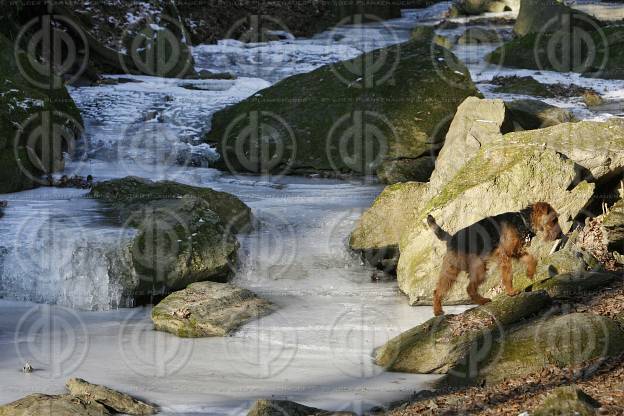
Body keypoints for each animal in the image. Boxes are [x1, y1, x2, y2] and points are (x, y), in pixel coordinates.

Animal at [426, 202, 564, 316]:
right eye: (554, 220)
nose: (561, 235)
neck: (522, 221)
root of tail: (451, 239)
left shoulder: (515, 252)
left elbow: (532, 259)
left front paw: (530, 273)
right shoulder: (505, 255)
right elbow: (508, 276)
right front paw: (511, 292)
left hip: (476, 268)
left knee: (468, 288)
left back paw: (483, 301)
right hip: (460, 268)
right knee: (440, 290)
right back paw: (438, 311)